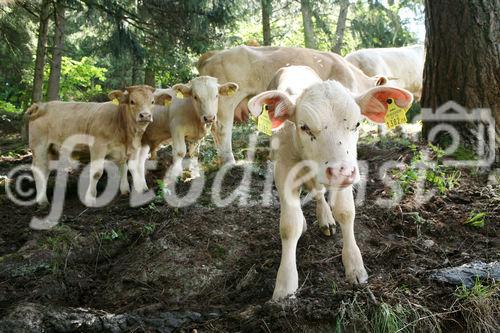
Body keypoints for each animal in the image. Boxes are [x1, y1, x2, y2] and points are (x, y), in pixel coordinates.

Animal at [247, 67, 414, 298]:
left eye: (357, 124)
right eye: (304, 127)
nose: (340, 172)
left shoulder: (346, 167)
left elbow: (345, 211)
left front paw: (354, 265)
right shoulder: (284, 169)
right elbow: (289, 225)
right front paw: (285, 283)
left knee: (318, 192)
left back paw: (325, 218)